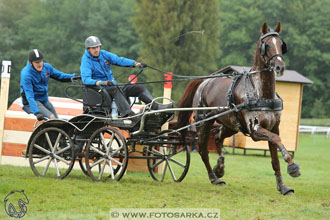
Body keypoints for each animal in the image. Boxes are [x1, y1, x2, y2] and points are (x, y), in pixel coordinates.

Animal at [177, 21, 300, 194]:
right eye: (267, 45)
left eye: (282, 45)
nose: (279, 67)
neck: (263, 94)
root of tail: (206, 81)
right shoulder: (255, 130)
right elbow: (277, 140)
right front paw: (293, 166)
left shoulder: (274, 127)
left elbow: (275, 156)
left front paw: (283, 187)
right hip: (205, 122)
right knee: (203, 149)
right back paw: (214, 178)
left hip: (232, 125)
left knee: (217, 137)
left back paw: (220, 167)